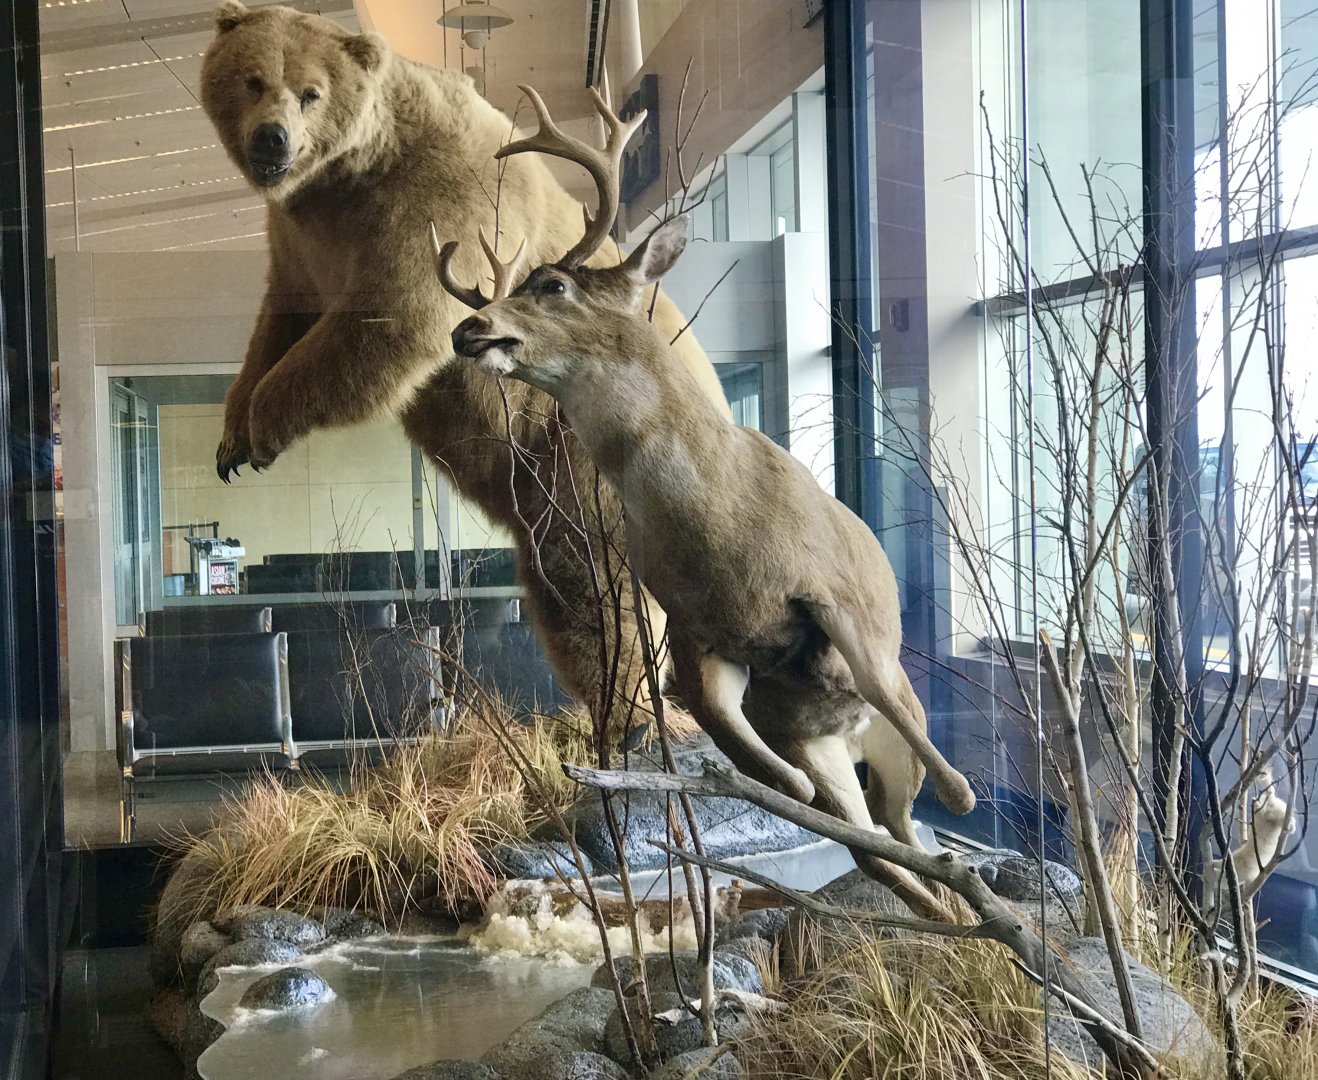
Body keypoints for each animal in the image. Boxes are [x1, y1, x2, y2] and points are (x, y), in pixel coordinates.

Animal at [200, 2, 726, 735]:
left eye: (311, 91)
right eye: (252, 79)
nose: (273, 142)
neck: (342, 183)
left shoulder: (437, 202)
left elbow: (388, 318)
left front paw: (258, 429)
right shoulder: (297, 247)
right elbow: (277, 324)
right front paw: (230, 436)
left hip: (587, 459)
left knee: (599, 578)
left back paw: (630, 717)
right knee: (559, 587)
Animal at [432, 86, 977, 913]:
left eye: (553, 285)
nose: (469, 327)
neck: (720, 519)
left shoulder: (837, 593)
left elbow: (882, 681)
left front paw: (966, 790)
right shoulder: (694, 632)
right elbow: (722, 723)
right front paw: (780, 784)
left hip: (880, 737)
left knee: (906, 799)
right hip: (831, 748)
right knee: (884, 846)